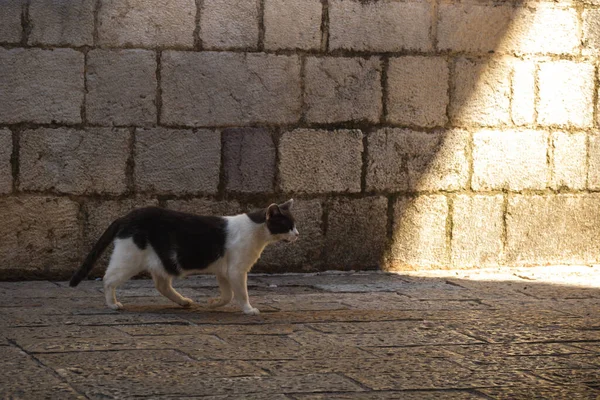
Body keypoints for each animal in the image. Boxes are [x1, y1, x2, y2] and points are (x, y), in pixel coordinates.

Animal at [69, 198, 298, 314]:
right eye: (288, 225)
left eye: (294, 225)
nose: (297, 234)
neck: (257, 231)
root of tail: (125, 216)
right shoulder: (236, 271)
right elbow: (241, 293)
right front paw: (249, 310)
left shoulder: (223, 272)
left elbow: (227, 295)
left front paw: (214, 303)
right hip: (129, 259)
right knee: (108, 279)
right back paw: (112, 304)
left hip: (162, 261)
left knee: (162, 285)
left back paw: (183, 301)